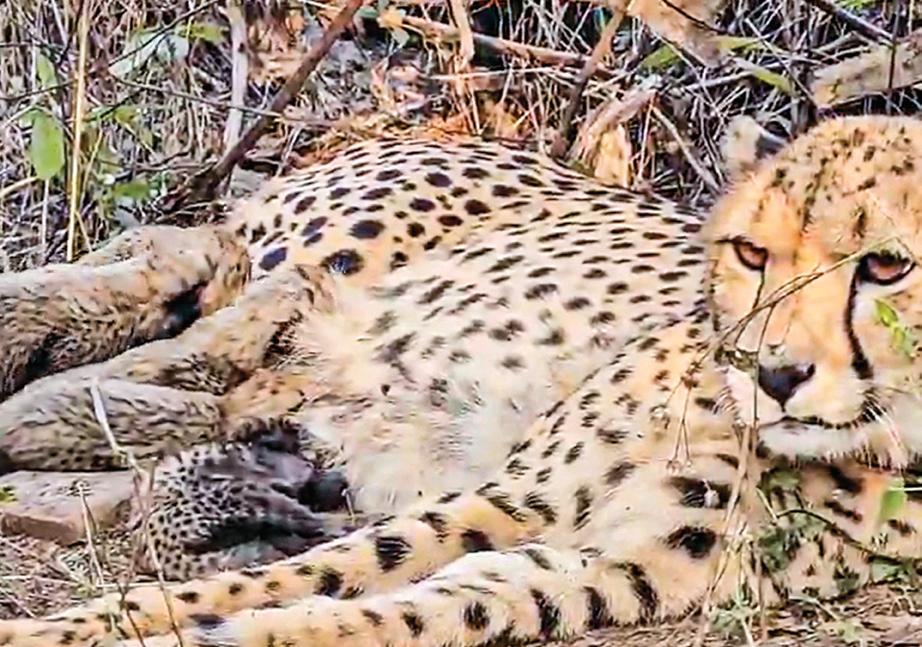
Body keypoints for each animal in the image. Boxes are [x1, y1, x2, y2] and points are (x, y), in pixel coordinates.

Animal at [4, 115, 922, 647]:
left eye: (886, 266)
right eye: (752, 252)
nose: (774, 372)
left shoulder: (615, 569)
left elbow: (403, 603)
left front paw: (234, 630)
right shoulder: (517, 495)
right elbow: (302, 571)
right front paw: (74, 626)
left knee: (228, 361)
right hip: (338, 250)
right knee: (192, 269)